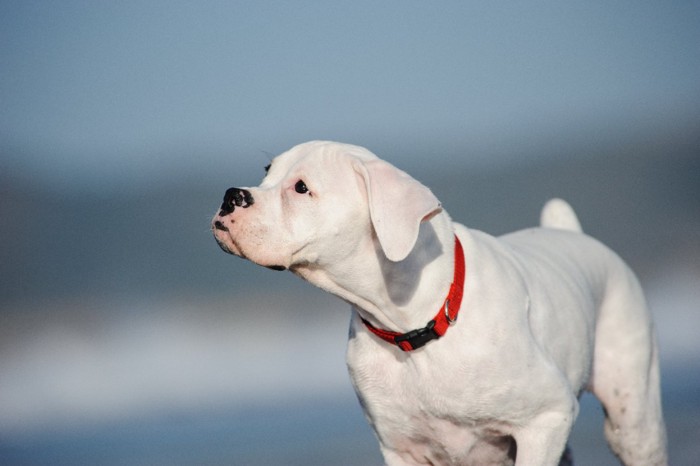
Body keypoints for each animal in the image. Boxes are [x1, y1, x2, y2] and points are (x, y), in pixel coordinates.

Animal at [212, 141, 668, 466]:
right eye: (267, 172)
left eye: (301, 188)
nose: (231, 195)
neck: (414, 325)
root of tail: (572, 233)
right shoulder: (402, 449)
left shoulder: (546, 418)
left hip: (633, 421)